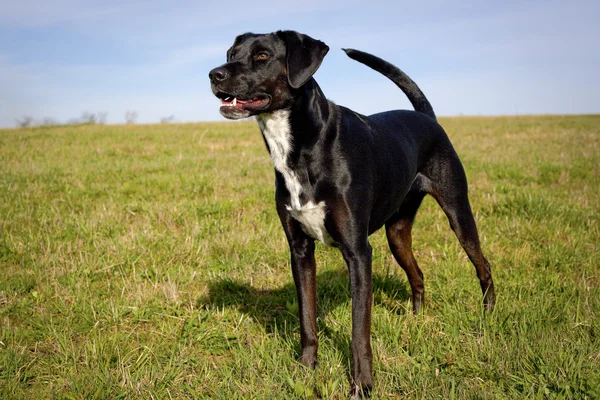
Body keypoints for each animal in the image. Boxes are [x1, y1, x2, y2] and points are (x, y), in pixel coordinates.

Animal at [209, 31, 494, 396]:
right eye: (232, 53)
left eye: (262, 56)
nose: (214, 74)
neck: (304, 145)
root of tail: (428, 118)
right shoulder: (300, 250)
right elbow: (307, 318)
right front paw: (306, 370)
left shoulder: (358, 252)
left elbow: (360, 330)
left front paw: (362, 385)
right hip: (396, 233)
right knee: (417, 274)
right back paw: (416, 320)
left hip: (458, 212)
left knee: (483, 265)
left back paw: (487, 318)